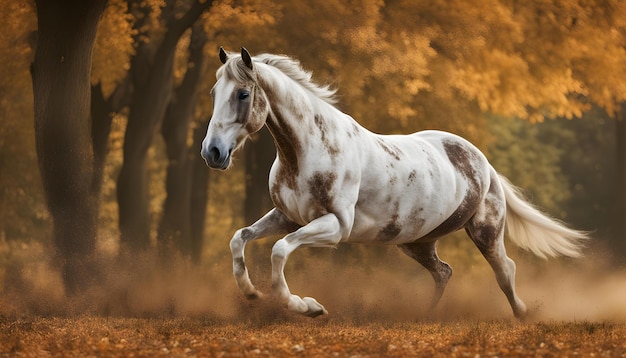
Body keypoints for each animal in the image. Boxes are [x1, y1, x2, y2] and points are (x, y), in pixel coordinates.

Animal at [200, 47, 584, 318]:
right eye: (214, 92)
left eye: (243, 94)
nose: (212, 152)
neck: (305, 151)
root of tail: (484, 163)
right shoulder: (288, 217)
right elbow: (239, 238)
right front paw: (251, 293)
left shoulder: (334, 226)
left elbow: (279, 250)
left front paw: (307, 307)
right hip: (415, 242)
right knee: (443, 272)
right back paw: (425, 317)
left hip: (485, 230)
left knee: (505, 270)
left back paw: (523, 314)